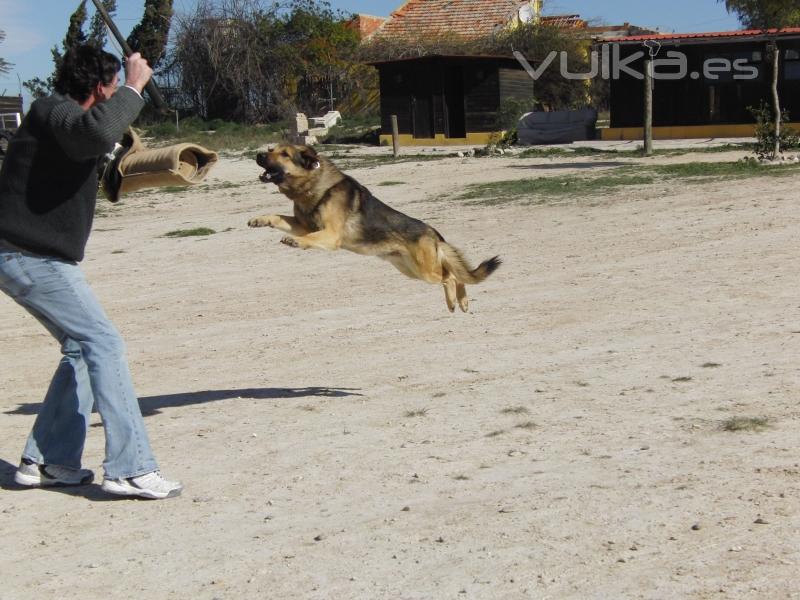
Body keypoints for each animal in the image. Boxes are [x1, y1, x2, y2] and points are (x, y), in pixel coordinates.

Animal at [248, 146, 500, 314]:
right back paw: (462, 302)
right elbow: (278, 217)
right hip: (411, 271)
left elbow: (309, 238)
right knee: (455, 274)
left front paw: (295, 242)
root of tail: (434, 233)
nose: (259, 155)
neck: (314, 186)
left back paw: (455, 302)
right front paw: (259, 220)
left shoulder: (330, 236)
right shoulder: (302, 225)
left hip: (425, 271)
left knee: (451, 277)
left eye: (284, 154)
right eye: (271, 149)